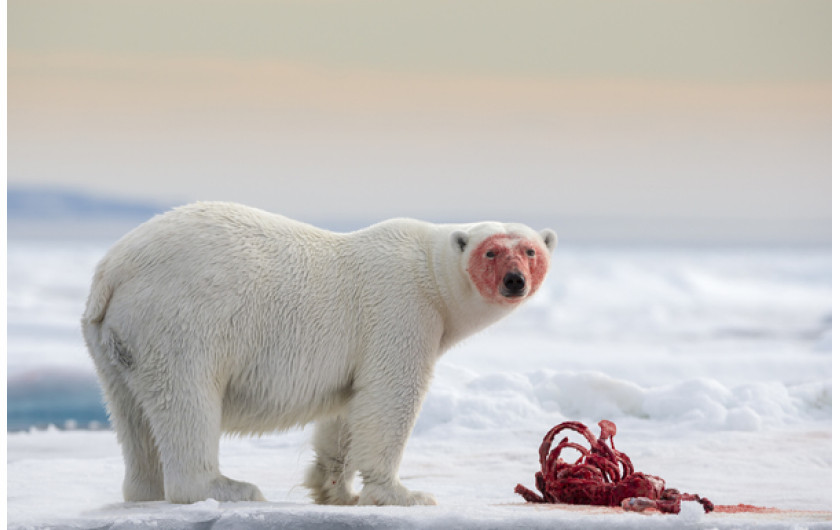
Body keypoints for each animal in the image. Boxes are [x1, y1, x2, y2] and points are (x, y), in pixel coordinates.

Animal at [82, 201, 556, 504]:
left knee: (131, 415)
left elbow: (349, 409)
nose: (514, 280)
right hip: (182, 321)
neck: (429, 272)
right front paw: (404, 494)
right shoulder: (401, 311)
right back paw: (227, 487)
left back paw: (145, 490)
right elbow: (389, 399)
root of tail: (113, 270)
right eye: (491, 250)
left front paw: (334, 488)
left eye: (531, 250)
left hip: (115, 340)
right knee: (187, 400)